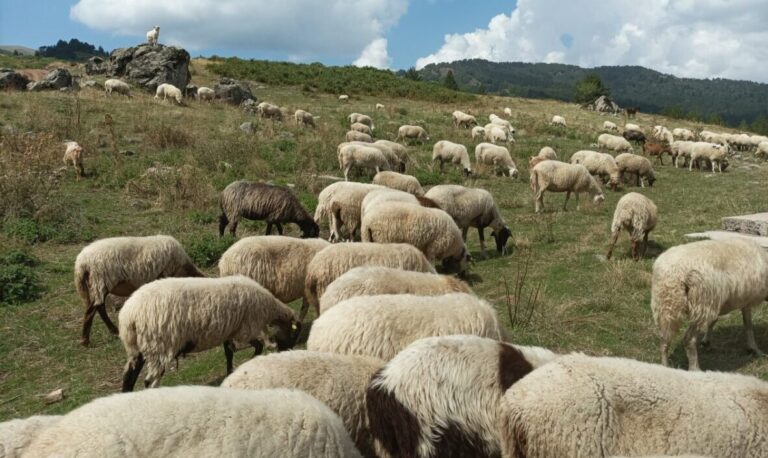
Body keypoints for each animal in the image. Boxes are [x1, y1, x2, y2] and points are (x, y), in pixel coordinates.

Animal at [74, 235, 203, 347]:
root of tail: (81, 262)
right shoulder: (164, 275)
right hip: (100, 281)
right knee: (92, 310)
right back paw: (85, 341)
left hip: (96, 284)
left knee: (99, 307)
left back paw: (113, 331)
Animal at [119, 275, 300, 391]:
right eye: (294, 335)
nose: (288, 350)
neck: (268, 309)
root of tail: (128, 316)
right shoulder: (246, 329)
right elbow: (258, 346)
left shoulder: (230, 331)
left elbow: (229, 353)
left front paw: (230, 372)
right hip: (160, 345)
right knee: (149, 381)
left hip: (136, 347)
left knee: (129, 376)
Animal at [651, 238, 768, 370]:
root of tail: (675, 274)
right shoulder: (744, 300)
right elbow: (748, 324)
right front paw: (755, 349)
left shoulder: (722, 302)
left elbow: (718, 321)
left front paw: (706, 341)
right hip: (700, 304)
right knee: (689, 339)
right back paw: (695, 368)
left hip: (667, 305)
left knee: (664, 339)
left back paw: (665, 366)